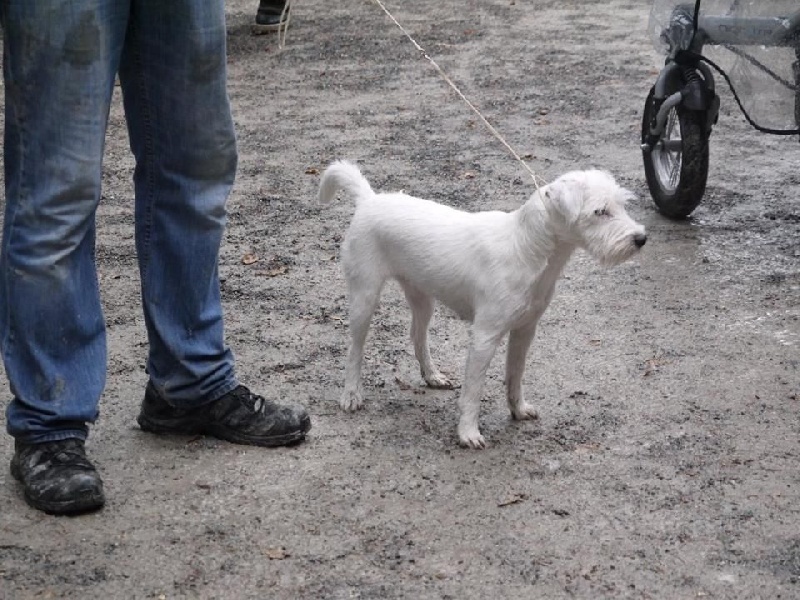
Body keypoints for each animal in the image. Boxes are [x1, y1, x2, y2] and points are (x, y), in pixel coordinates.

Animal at [318, 162, 644, 448]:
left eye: (621, 205)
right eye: (600, 211)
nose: (641, 238)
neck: (526, 247)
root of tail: (369, 200)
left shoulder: (524, 330)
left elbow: (515, 375)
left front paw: (517, 409)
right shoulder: (485, 337)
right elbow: (473, 391)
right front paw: (468, 433)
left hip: (422, 298)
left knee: (417, 336)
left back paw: (431, 375)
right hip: (364, 297)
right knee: (355, 350)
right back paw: (351, 394)